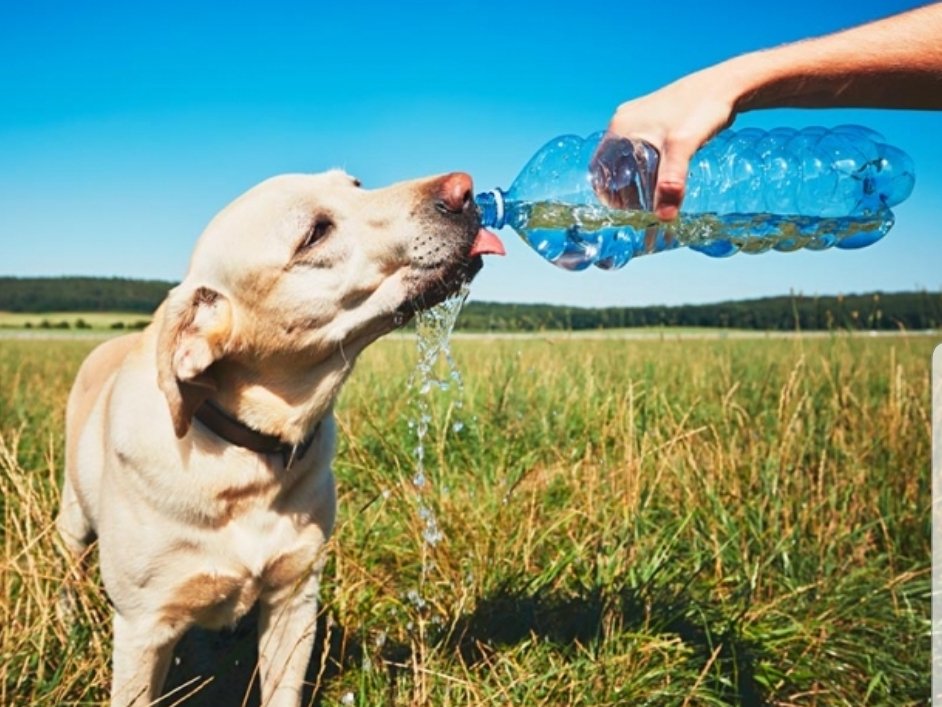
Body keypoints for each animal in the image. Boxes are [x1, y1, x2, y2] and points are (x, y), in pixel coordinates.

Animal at [56, 169, 506, 704]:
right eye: (315, 233)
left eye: (356, 184)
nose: (464, 188)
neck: (245, 457)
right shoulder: (142, 628)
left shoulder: (295, 599)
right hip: (72, 519)